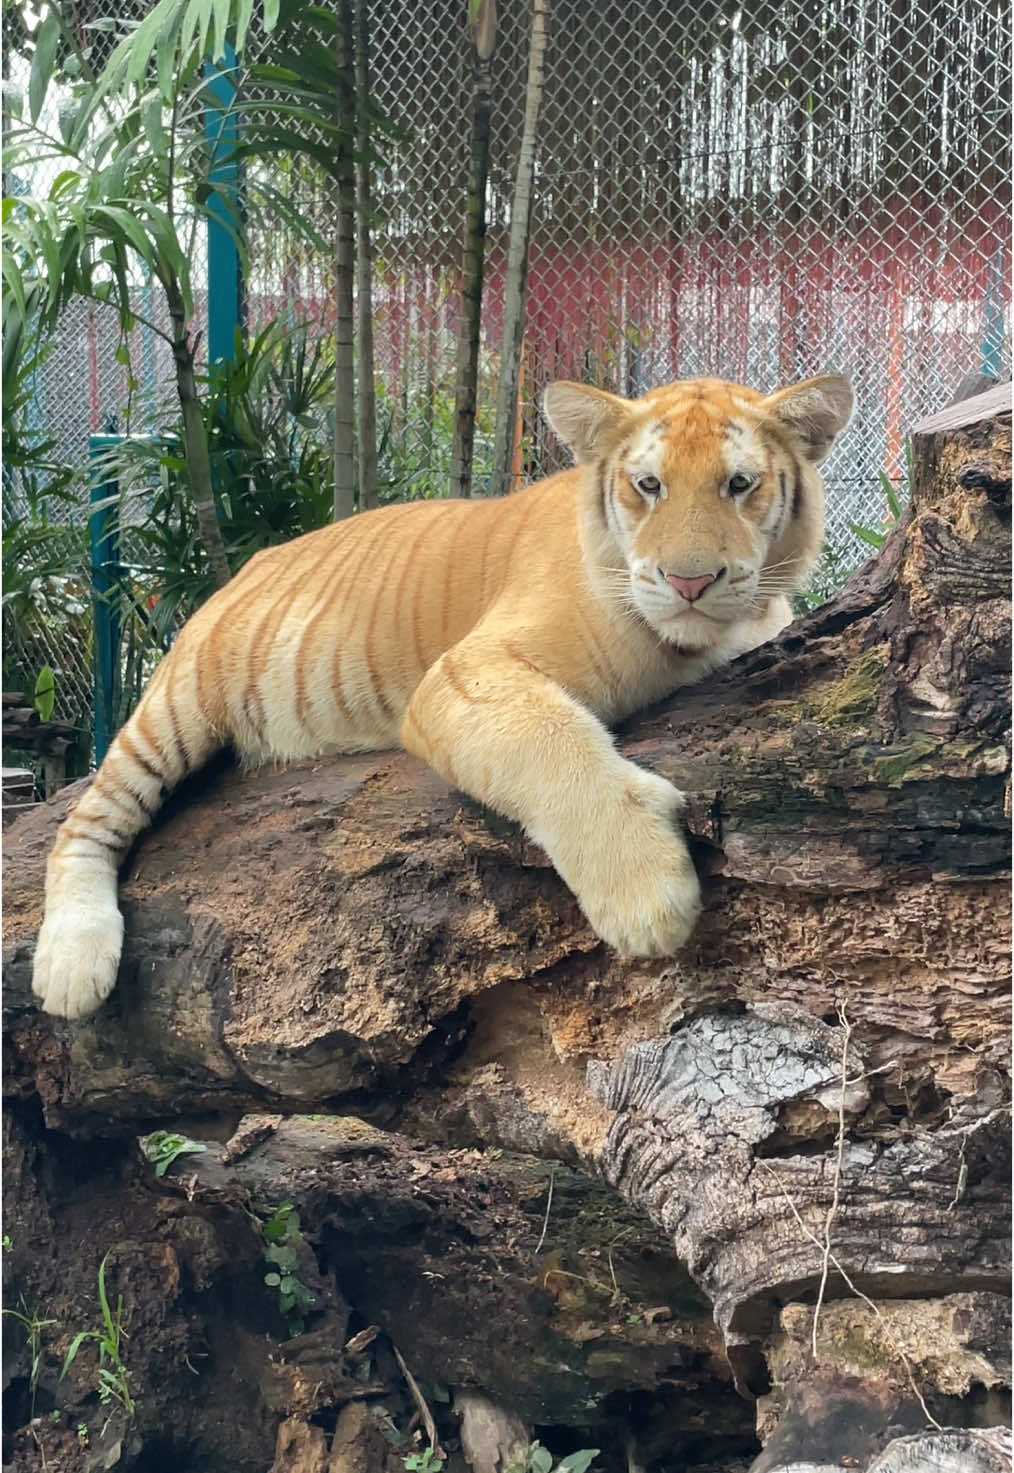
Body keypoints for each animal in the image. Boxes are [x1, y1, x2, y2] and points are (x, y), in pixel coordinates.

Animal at [31, 368, 848, 1019]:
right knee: (85, 821)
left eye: (739, 484)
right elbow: (549, 740)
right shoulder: (465, 672)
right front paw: (647, 895)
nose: (688, 582)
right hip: (175, 706)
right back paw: (72, 964)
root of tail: (247, 565)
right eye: (649, 486)